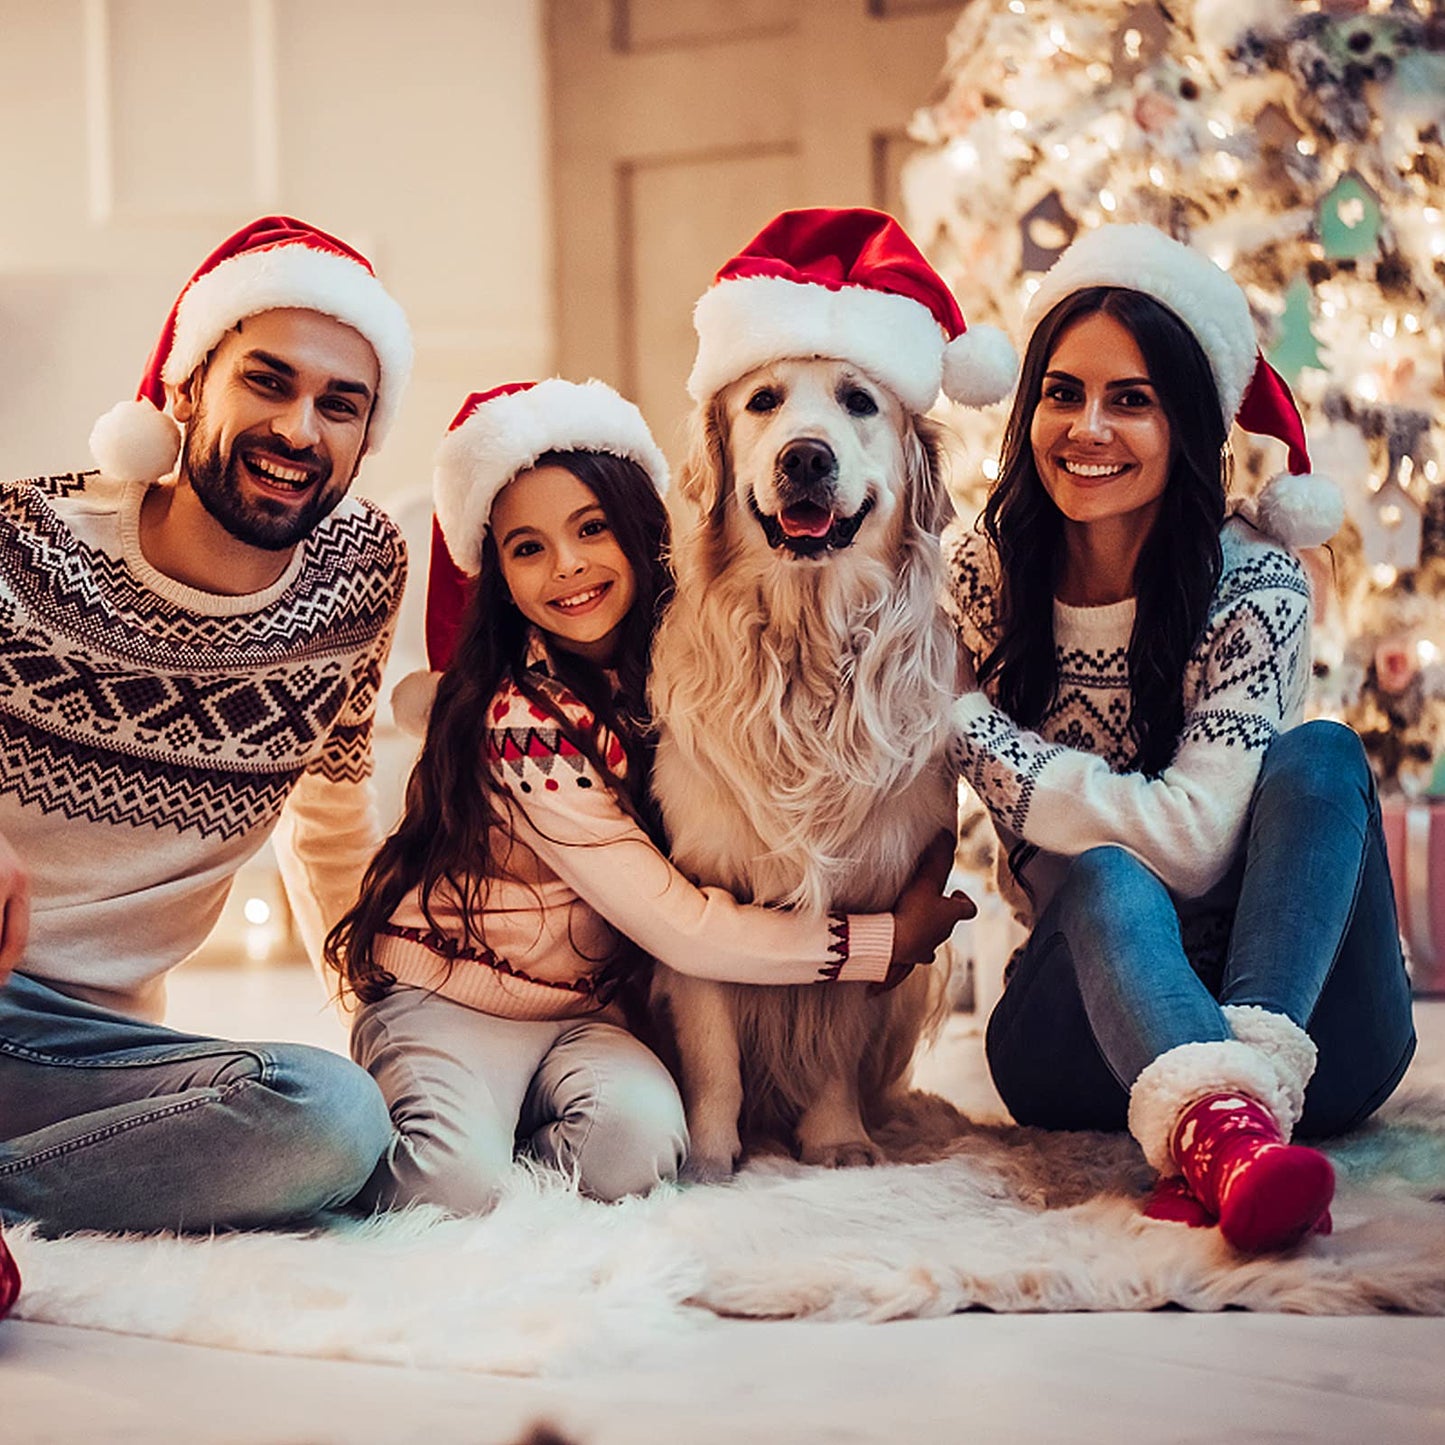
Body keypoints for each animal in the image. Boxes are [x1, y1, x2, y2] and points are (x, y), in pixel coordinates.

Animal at [653, 355, 959, 1179]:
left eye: (860, 401)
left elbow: (832, 1047)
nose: (806, 459)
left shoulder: (872, 900)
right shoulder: (703, 894)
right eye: (762, 400)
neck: (804, 647)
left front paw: (835, 1141)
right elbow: (714, 1058)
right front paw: (709, 1157)